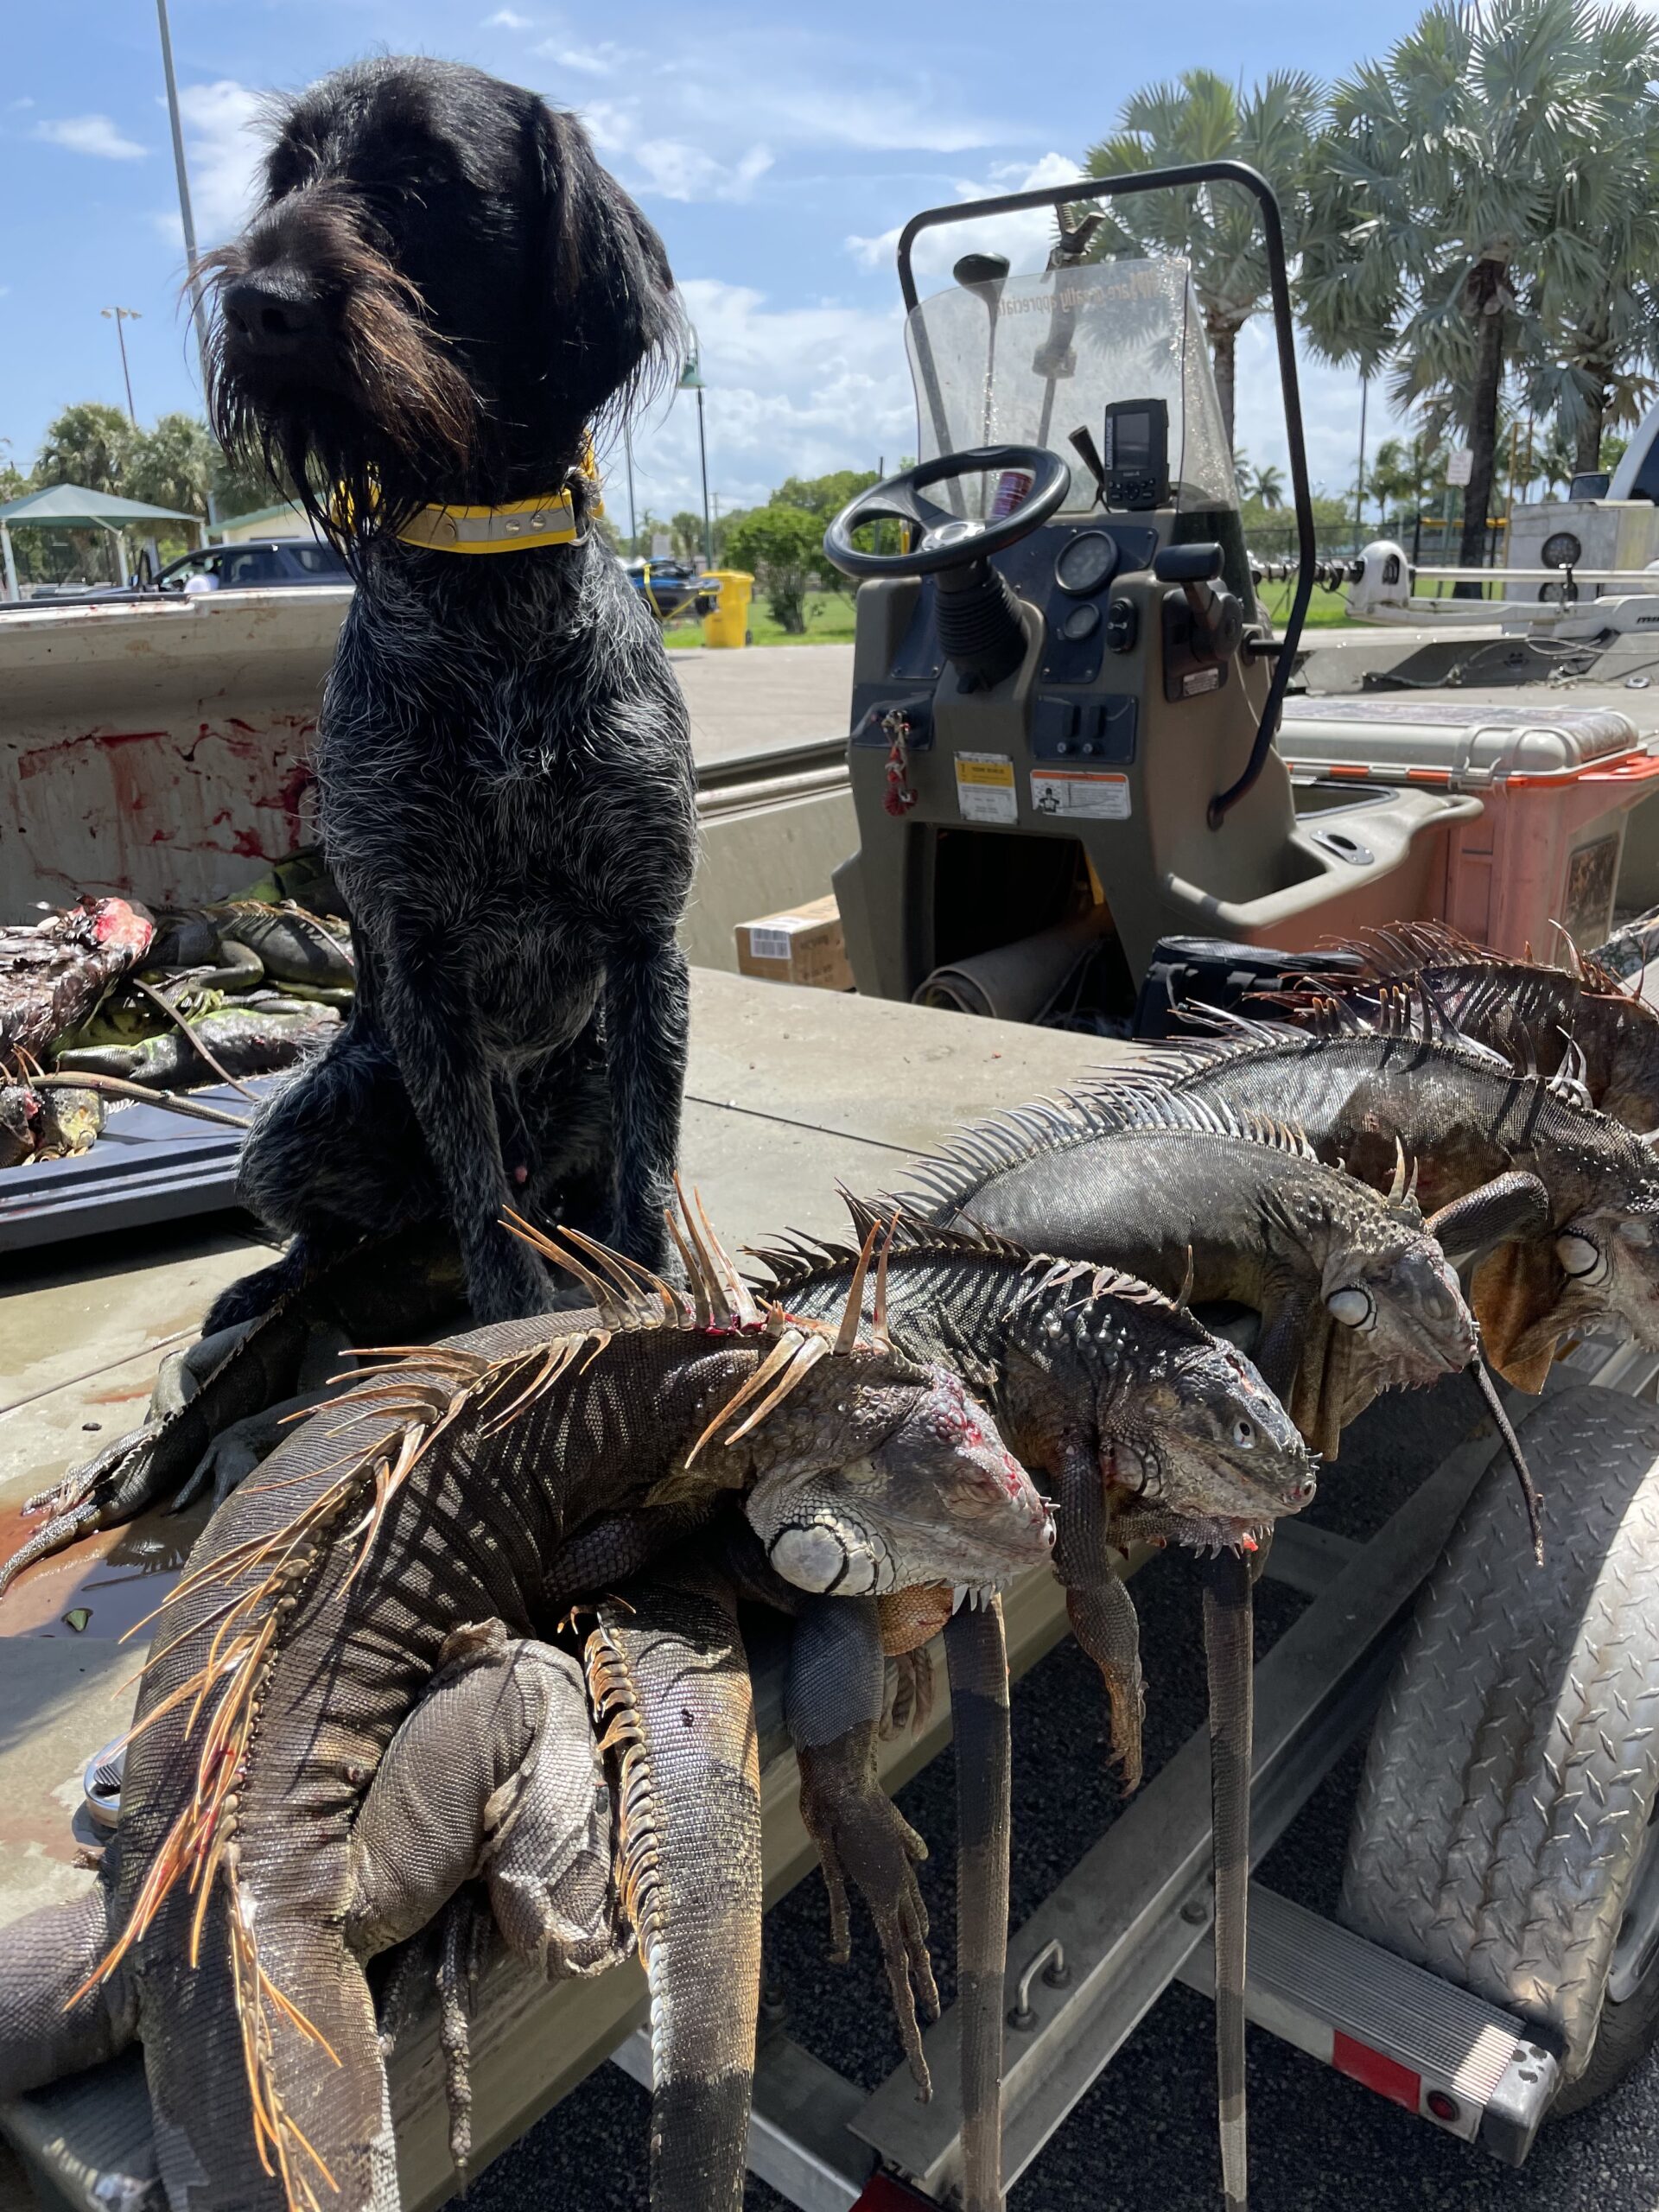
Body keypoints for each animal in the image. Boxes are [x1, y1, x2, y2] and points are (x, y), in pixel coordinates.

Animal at [200, 60, 694, 1318]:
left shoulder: (645, 942)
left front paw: (654, 1293)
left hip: (593, 1061)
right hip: (312, 1112)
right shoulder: (419, 964)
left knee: (573, 1185)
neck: (490, 595)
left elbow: (646, 1171)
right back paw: (265, 1294)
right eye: (286, 175)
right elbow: (481, 1204)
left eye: (425, 176)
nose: (257, 302)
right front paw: (513, 1329)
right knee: (351, 1227)